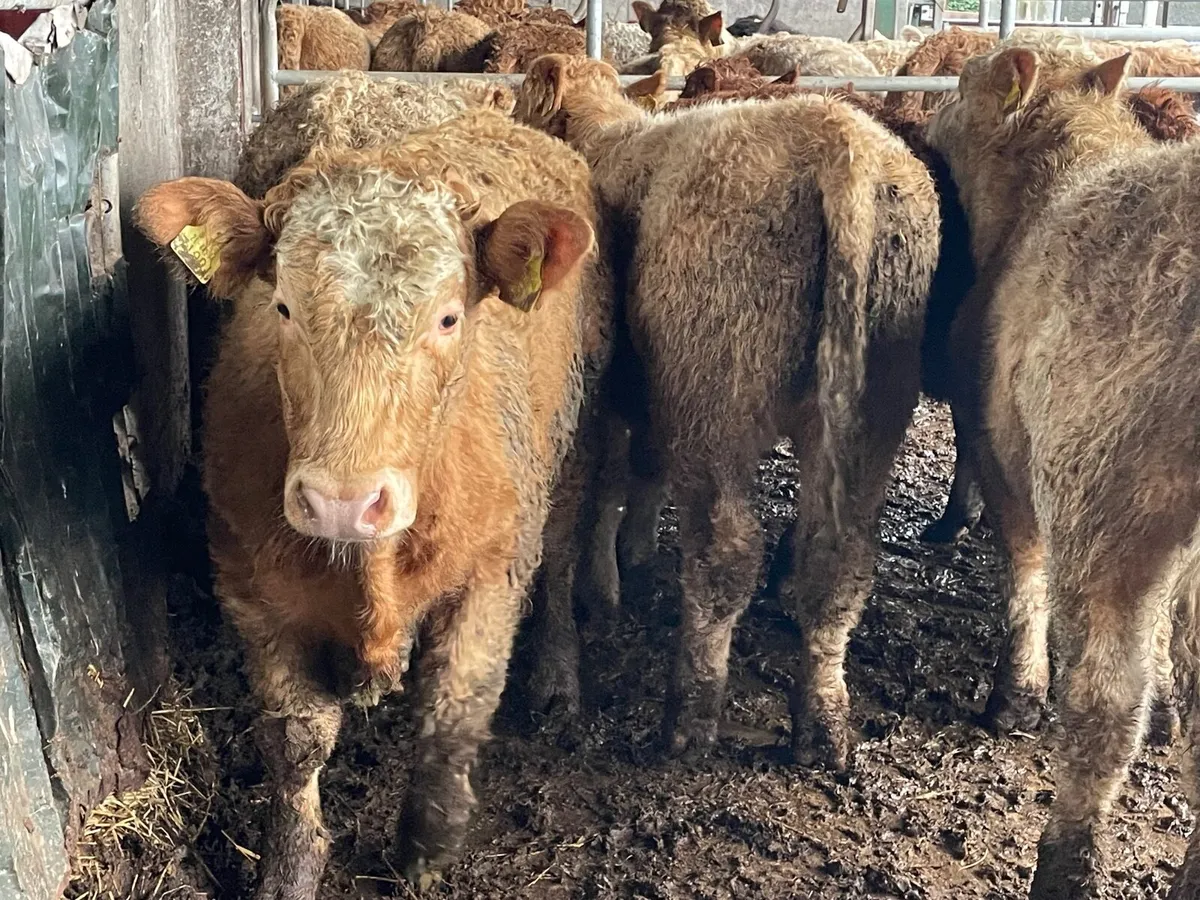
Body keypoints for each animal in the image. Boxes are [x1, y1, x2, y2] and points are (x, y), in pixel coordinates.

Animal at [135, 108, 612, 898]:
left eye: (448, 318)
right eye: (283, 307)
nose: (341, 503)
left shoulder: (491, 572)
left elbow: (452, 715)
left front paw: (425, 849)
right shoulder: (252, 588)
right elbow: (296, 739)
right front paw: (290, 867)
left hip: (574, 434)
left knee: (567, 553)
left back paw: (558, 677)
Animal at [515, 54, 939, 768]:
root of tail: (838, 143)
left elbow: (602, 491)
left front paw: (603, 589)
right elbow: (634, 475)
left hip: (713, 391)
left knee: (726, 553)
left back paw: (690, 720)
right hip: (873, 404)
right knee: (840, 557)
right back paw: (822, 722)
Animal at [927, 47, 1200, 896]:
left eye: (961, 83)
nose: (928, 115)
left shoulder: (1001, 444)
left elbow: (1024, 568)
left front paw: (1016, 692)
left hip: (1110, 498)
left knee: (1104, 704)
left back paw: (1067, 862)